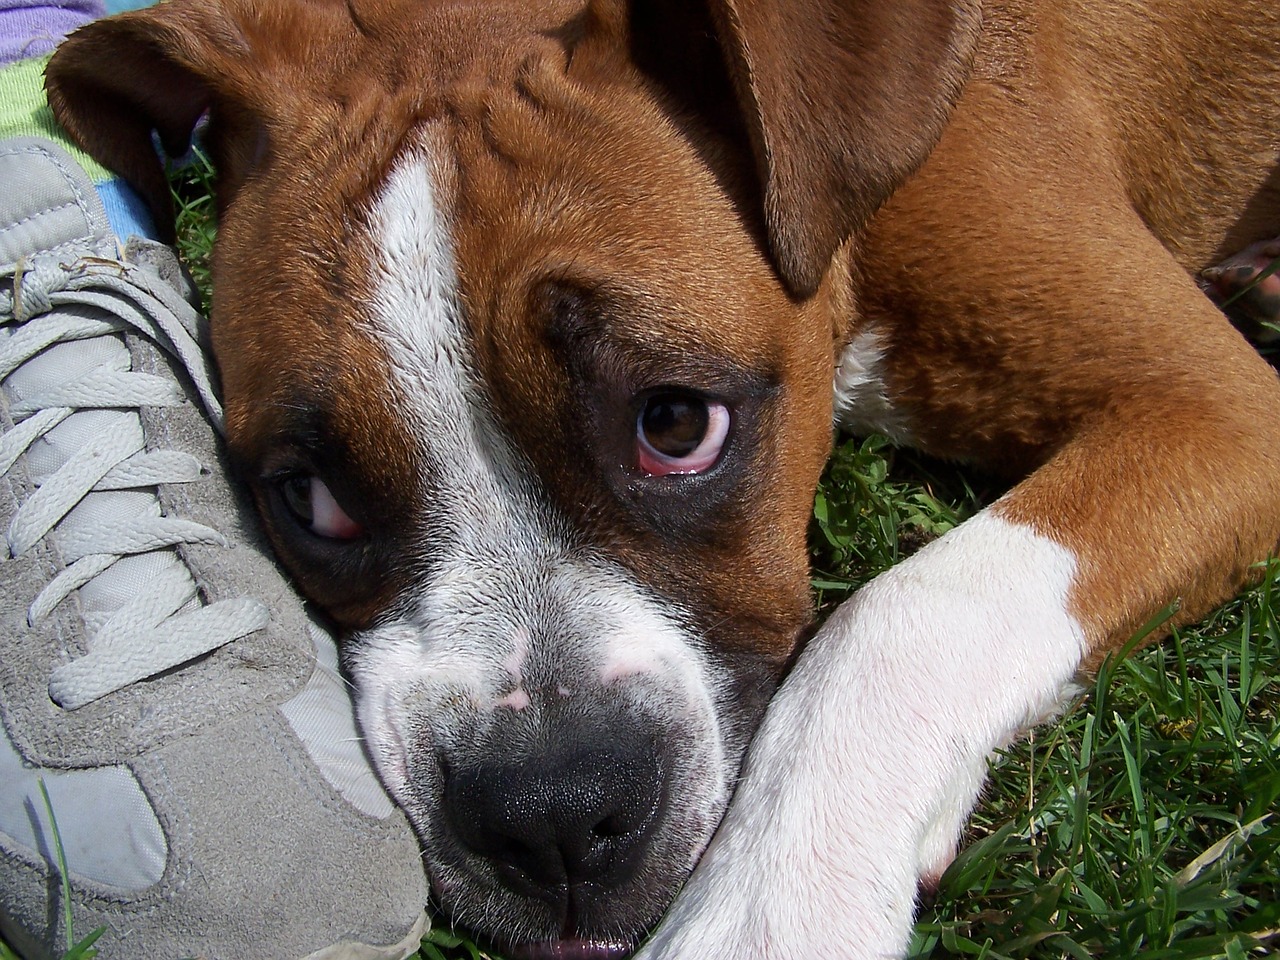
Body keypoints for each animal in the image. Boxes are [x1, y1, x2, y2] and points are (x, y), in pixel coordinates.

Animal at [42, 0, 1280, 957]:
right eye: (311, 501)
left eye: (676, 424)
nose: (548, 817)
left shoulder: (1209, 406)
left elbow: (902, 611)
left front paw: (776, 909)